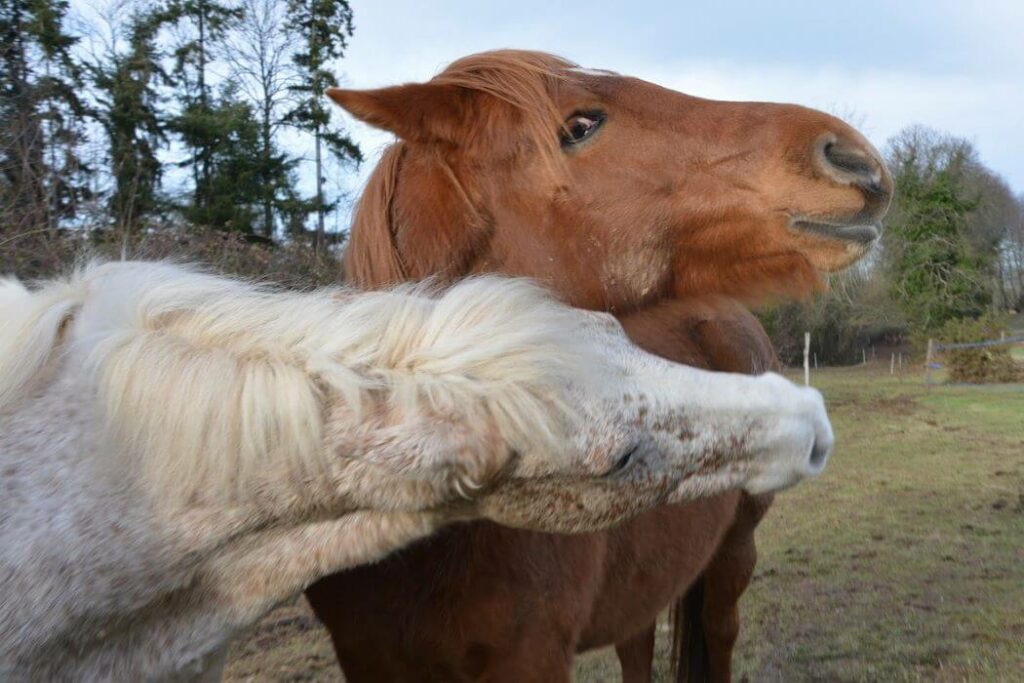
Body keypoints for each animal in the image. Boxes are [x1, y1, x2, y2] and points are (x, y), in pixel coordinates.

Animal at [307, 50, 892, 679]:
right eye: (580, 126)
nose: (854, 157)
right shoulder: (368, 658)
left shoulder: (534, 654)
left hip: (734, 552)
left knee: (719, 631)